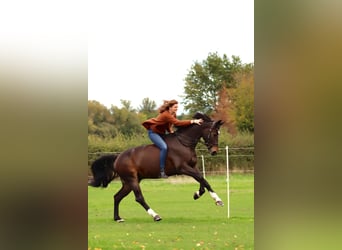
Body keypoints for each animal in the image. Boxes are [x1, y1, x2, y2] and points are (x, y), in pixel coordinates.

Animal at [88, 112, 224, 222]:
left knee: (117, 197)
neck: (184, 143)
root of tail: (118, 158)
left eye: (218, 133)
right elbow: (202, 179)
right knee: (139, 198)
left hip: (129, 182)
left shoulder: (193, 166)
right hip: (132, 179)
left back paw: (117, 218)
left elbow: (202, 180)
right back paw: (155, 216)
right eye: (214, 133)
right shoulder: (183, 168)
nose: (214, 152)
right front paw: (218, 200)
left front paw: (197, 194)